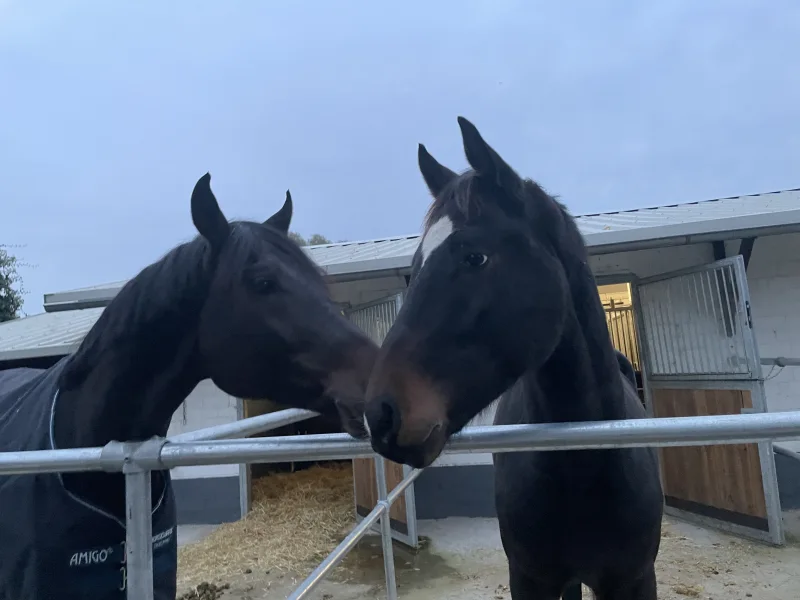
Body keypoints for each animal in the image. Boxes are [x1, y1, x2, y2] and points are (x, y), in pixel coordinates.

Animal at [366, 119, 664, 596]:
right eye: (413, 268)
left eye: (475, 256)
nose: (380, 414)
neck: (586, 464)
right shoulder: (530, 578)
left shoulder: (634, 579)